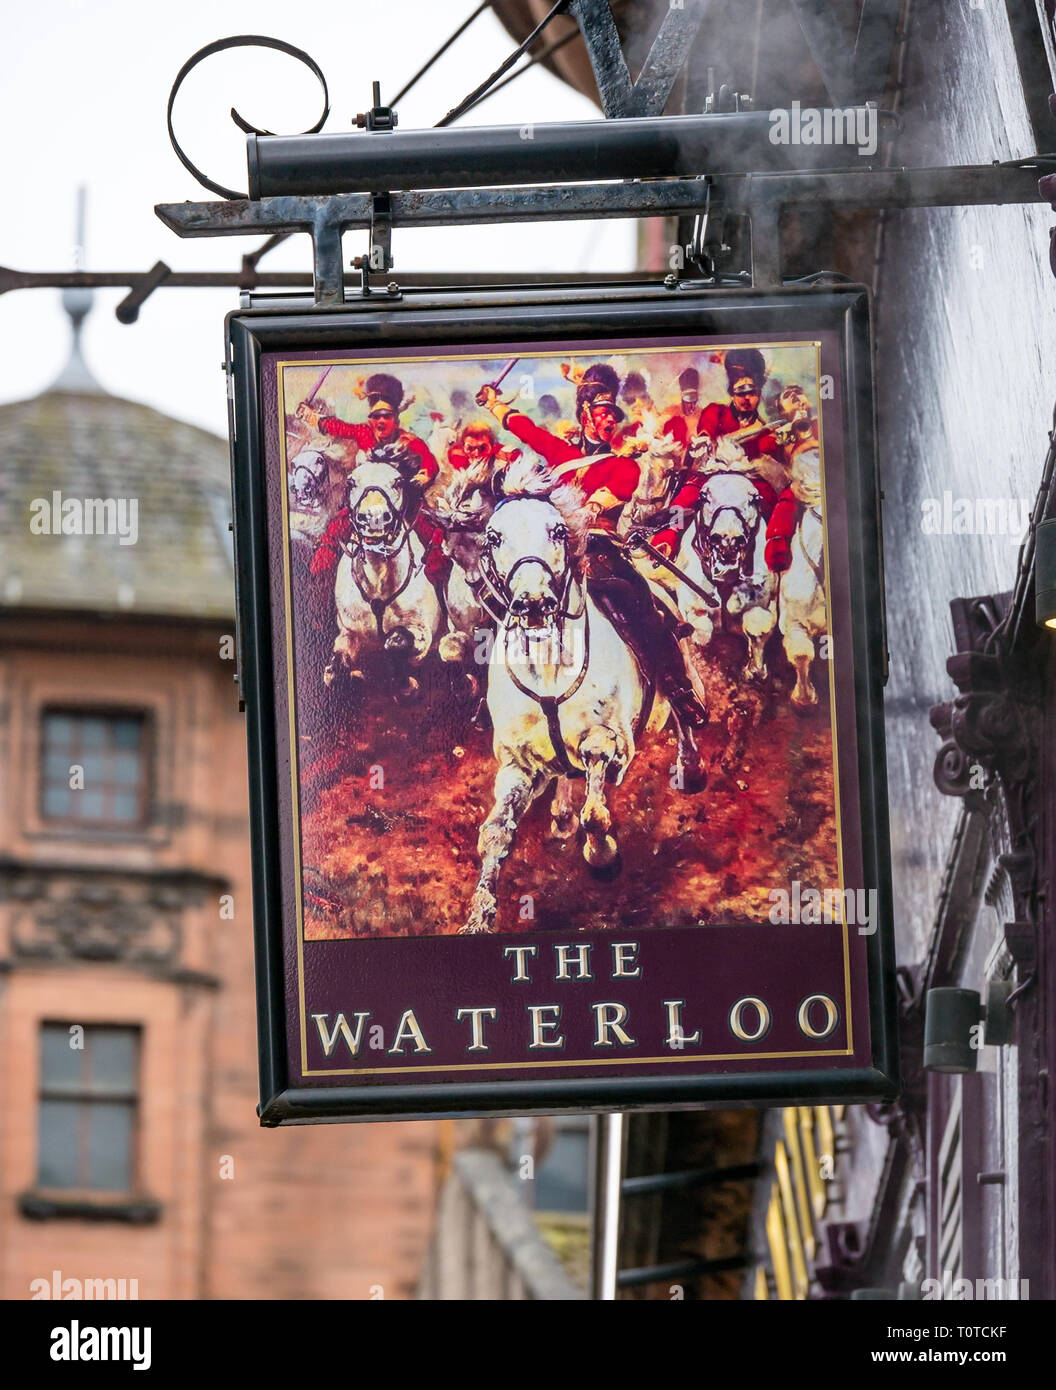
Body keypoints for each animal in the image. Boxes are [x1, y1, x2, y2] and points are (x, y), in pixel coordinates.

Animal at [326, 461, 441, 695]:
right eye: (351, 482)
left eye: (397, 482)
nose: (373, 518)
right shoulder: (349, 633)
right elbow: (336, 669)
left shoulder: (423, 631)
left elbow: (398, 644)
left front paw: (405, 685)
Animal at [461, 464, 666, 934]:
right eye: (493, 537)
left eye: (557, 531)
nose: (534, 603)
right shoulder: (518, 764)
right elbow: (495, 833)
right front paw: (479, 917)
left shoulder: (608, 739)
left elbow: (596, 808)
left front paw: (603, 857)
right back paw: (560, 815)